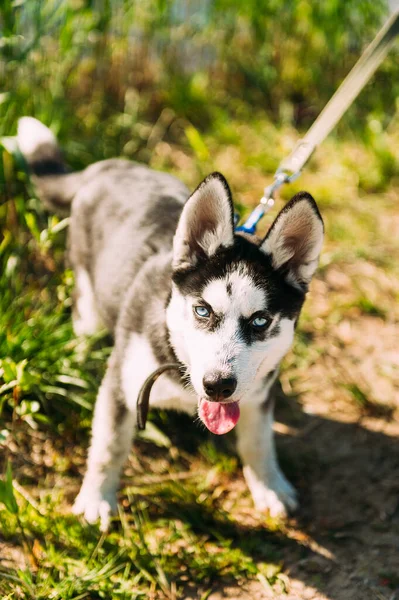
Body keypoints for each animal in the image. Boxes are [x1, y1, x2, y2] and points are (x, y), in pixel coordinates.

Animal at [17, 116, 324, 528]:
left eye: (260, 321)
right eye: (202, 311)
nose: (218, 386)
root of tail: (106, 167)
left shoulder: (259, 391)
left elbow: (258, 441)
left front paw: (269, 486)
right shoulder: (121, 387)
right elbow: (108, 447)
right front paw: (96, 499)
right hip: (88, 304)